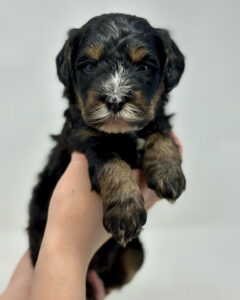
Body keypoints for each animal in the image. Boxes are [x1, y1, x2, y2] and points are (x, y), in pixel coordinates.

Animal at [27, 12, 186, 298]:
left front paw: (168, 174)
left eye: (145, 67)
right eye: (89, 66)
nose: (114, 100)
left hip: (136, 253)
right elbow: (112, 162)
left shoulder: (155, 120)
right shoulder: (82, 137)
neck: (121, 133)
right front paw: (125, 212)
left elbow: (161, 132)